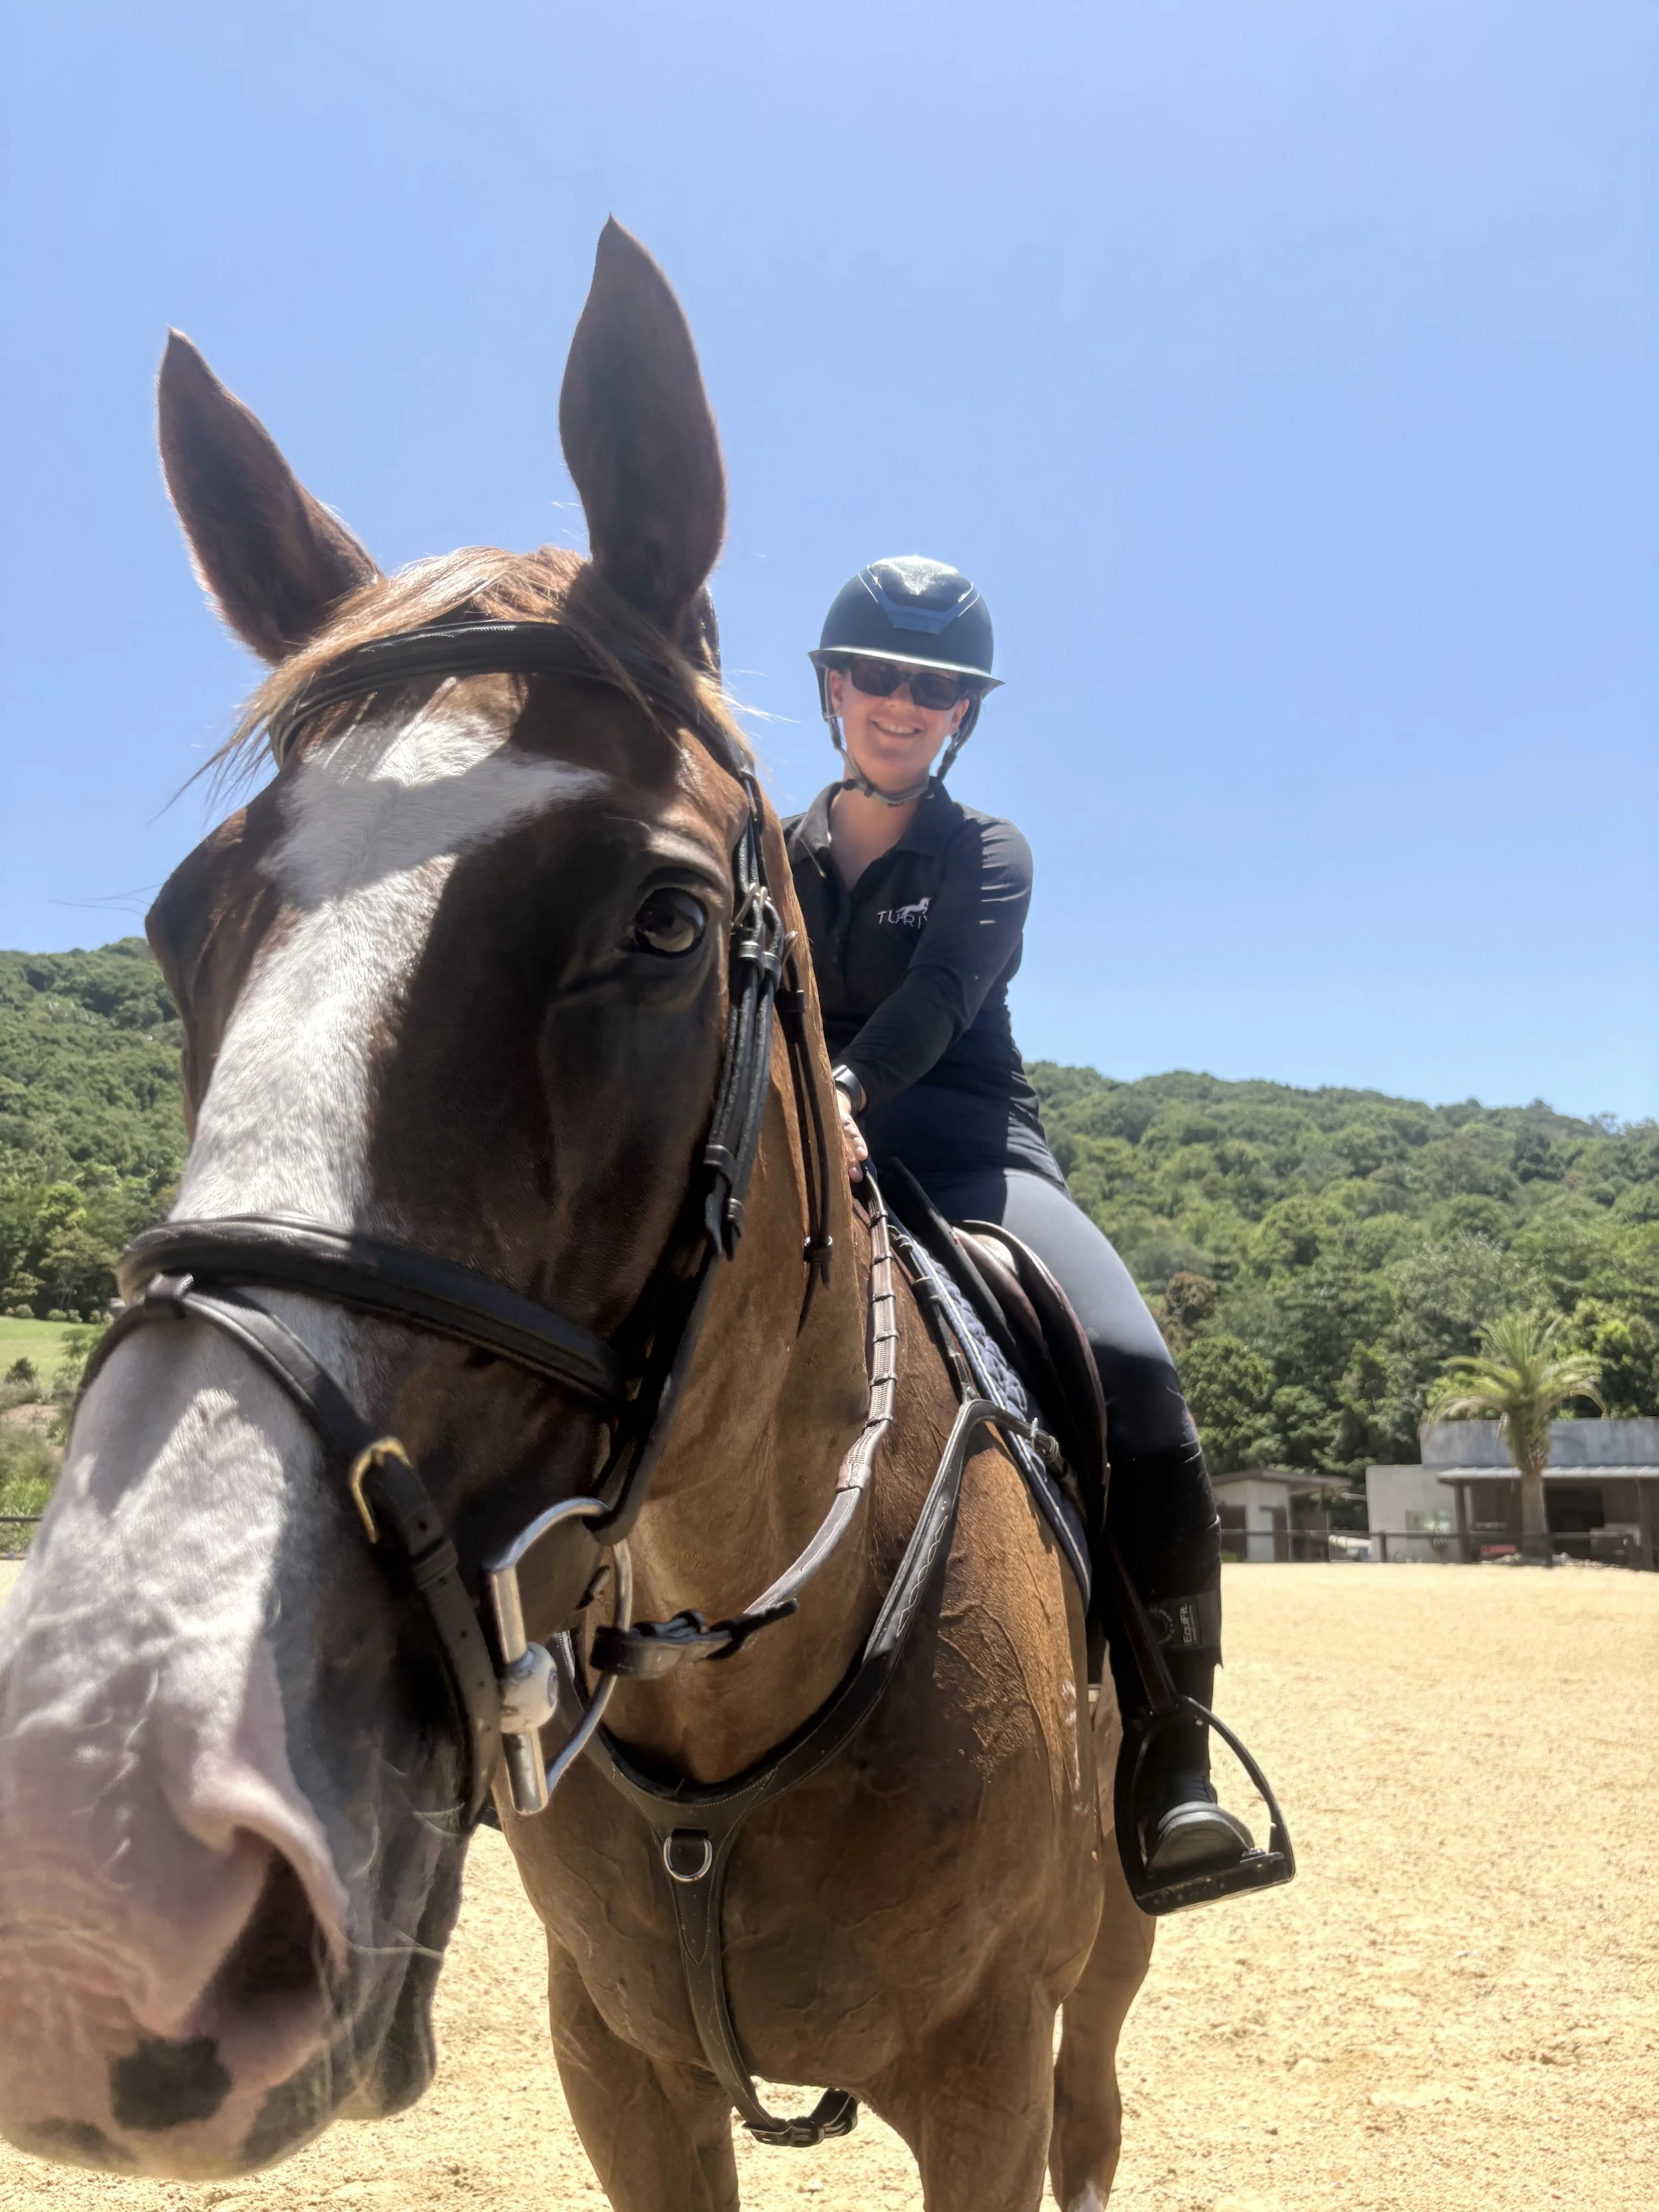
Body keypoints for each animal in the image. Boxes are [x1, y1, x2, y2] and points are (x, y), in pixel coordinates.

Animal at [0, 222, 1154, 2210]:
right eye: (180, 924)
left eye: (667, 922)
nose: (103, 1879)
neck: (734, 1664)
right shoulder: (618, 2068)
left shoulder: (992, 2076)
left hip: (1103, 1982)